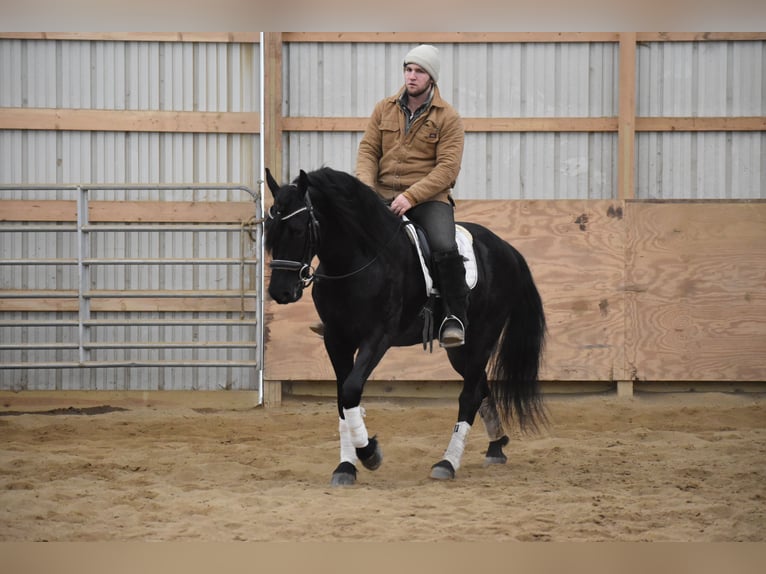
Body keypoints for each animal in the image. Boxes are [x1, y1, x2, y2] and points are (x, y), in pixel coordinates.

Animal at [268, 166, 548, 486]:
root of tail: (506, 248)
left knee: (469, 396)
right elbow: (342, 398)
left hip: (482, 339)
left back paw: (447, 463)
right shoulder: (336, 339)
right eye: (269, 229)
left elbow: (351, 389)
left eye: (297, 229)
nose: (280, 292)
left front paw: (369, 453)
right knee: (479, 388)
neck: (359, 260)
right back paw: (495, 446)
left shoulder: (378, 336)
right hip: (459, 351)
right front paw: (346, 466)